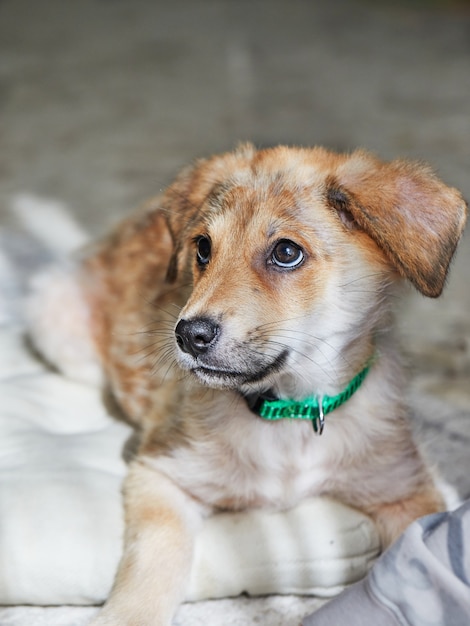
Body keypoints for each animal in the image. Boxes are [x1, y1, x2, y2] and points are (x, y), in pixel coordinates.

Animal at [28, 144, 466, 620]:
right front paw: (128, 615)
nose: (188, 336)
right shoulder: (163, 474)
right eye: (203, 247)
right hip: (55, 318)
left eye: (286, 252)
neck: (290, 413)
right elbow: (155, 559)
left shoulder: (404, 492)